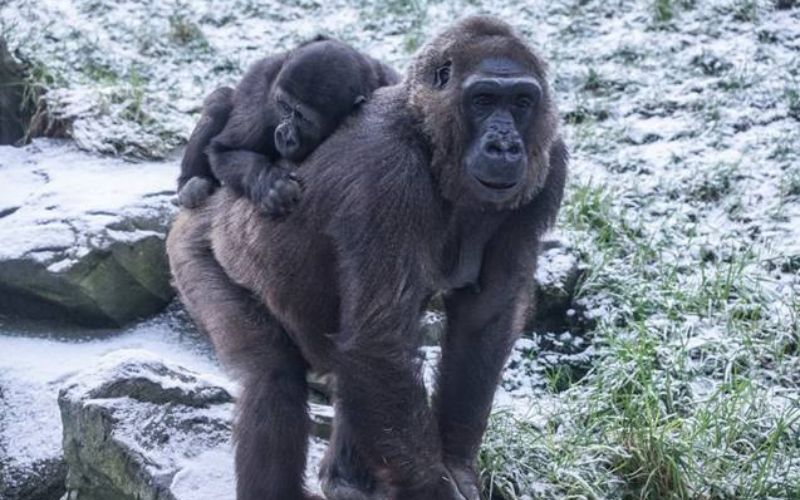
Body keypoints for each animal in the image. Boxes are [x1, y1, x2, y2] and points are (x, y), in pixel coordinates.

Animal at [177, 36, 398, 213]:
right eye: (284, 107)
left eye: (303, 118)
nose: (284, 135)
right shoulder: (260, 108)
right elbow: (223, 150)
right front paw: (270, 184)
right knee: (219, 101)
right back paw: (190, 184)